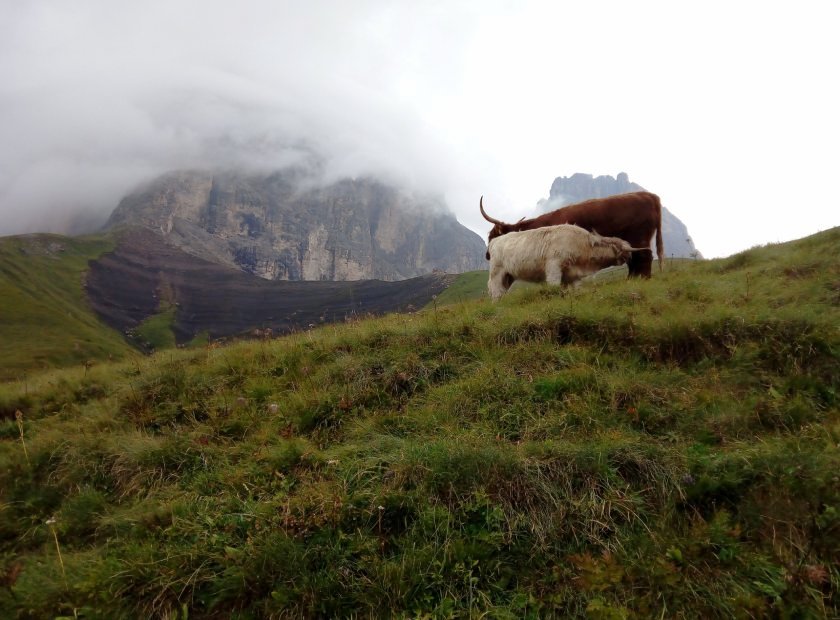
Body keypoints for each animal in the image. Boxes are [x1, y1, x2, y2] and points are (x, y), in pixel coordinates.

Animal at [486, 224, 632, 302]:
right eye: (621, 248)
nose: (630, 255)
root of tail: (495, 240)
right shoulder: (554, 266)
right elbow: (554, 285)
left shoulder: (573, 274)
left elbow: (576, 289)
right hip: (496, 273)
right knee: (496, 292)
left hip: (508, 277)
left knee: (502, 291)